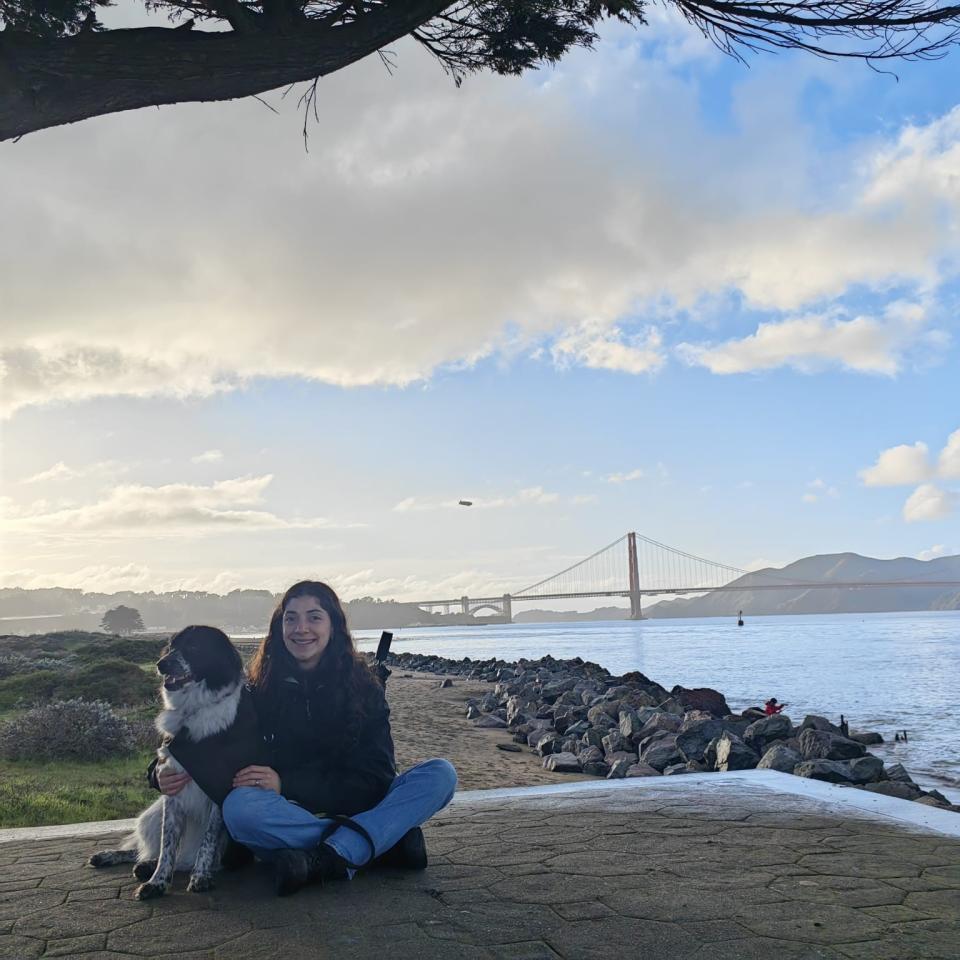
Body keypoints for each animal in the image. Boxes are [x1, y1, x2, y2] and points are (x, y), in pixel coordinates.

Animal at [86, 624, 256, 900]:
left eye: (195, 646)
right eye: (171, 645)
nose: (161, 664)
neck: (193, 712)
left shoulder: (218, 790)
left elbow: (207, 842)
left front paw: (200, 877)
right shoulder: (172, 790)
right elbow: (168, 845)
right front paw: (157, 882)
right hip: (152, 814)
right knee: (145, 849)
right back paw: (123, 860)